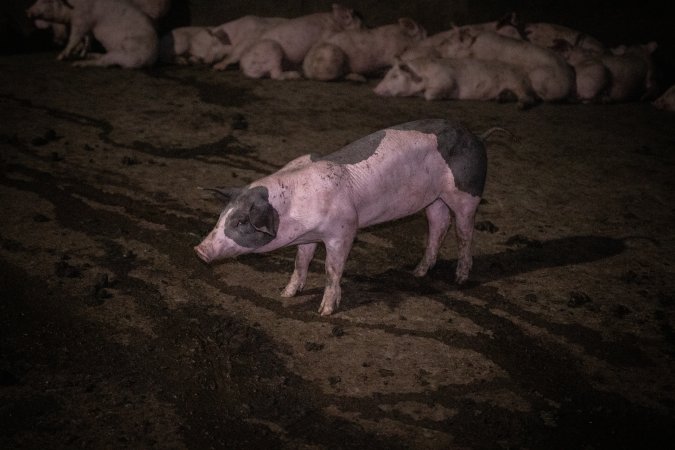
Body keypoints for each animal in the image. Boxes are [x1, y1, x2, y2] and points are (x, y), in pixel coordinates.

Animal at [27, 0, 158, 67]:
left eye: (45, 1)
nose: (26, 11)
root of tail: (152, 58)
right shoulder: (88, 26)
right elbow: (87, 38)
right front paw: (81, 52)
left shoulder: (82, 20)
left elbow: (74, 37)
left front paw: (60, 57)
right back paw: (87, 56)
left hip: (129, 53)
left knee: (103, 63)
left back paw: (77, 63)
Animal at [195, 120, 502, 316]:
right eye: (222, 216)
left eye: (241, 222)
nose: (199, 250)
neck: (291, 208)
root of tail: (478, 137)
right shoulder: (307, 237)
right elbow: (300, 263)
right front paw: (285, 294)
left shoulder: (343, 230)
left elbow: (332, 270)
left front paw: (324, 312)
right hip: (433, 199)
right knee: (439, 224)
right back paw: (417, 272)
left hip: (467, 192)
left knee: (464, 232)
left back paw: (460, 278)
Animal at [374, 56, 540, 108]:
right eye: (387, 74)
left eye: (394, 76)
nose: (374, 90)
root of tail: (526, 75)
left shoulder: (447, 80)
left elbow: (430, 94)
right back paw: (499, 99)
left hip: (518, 82)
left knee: (529, 98)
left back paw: (520, 106)